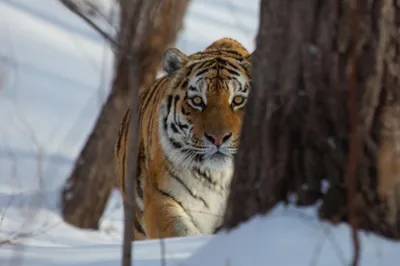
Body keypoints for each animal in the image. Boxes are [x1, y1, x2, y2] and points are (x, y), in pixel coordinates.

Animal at [115, 36, 252, 240]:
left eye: (238, 100)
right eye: (197, 101)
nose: (218, 138)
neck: (219, 177)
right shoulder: (160, 197)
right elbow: (179, 231)